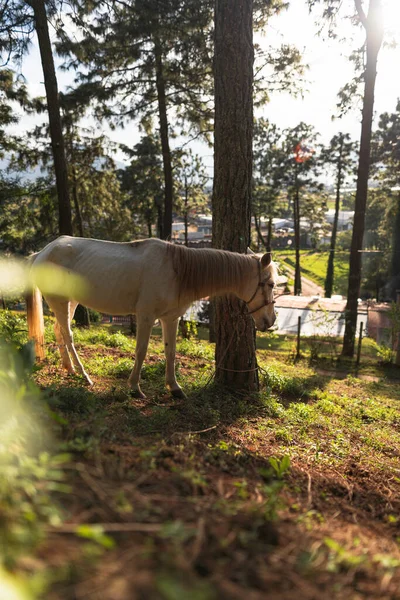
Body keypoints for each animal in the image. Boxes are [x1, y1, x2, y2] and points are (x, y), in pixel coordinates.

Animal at [26, 236, 276, 398]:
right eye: (271, 284)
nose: (271, 321)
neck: (178, 271)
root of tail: (42, 252)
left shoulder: (171, 319)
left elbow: (171, 352)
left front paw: (174, 388)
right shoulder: (146, 317)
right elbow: (141, 350)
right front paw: (135, 388)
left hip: (70, 301)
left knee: (59, 331)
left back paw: (69, 368)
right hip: (59, 300)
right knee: (68, 335)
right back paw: (83, 374)